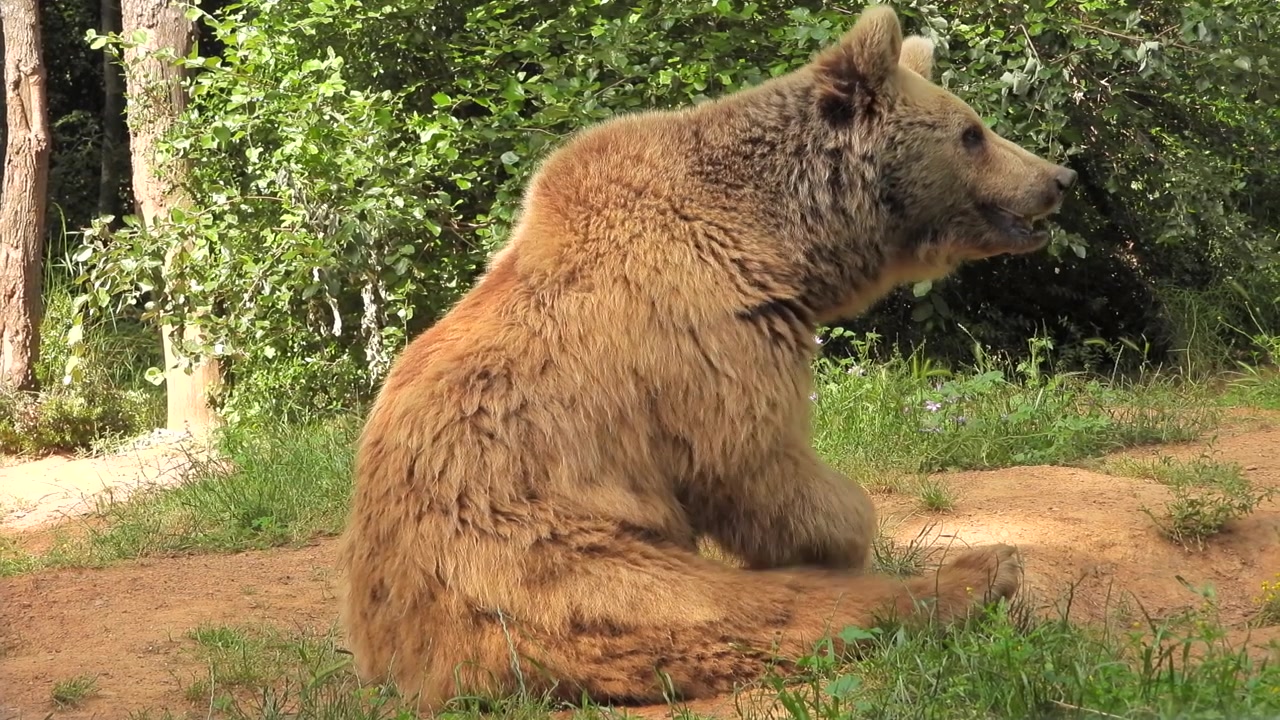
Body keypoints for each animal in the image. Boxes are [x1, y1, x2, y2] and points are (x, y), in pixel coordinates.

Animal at [336, 4, 1075, 712]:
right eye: (972, 132)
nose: (1059, 176)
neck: (779, 240)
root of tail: (402, 661)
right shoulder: (709, 328)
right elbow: (752, 460)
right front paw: (845, 533)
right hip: (544, 556)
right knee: (737, 613)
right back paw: (983, 573)